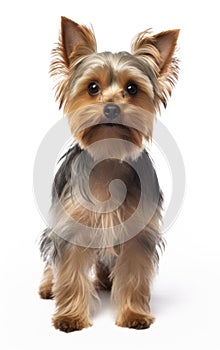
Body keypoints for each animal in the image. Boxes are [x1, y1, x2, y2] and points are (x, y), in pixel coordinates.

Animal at [38, 16, 179, 332]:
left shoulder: (139, 231)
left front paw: (134, 313)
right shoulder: (72, 227)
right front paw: (70, 316)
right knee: (51, 257)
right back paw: (48, 286)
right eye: (92, 87)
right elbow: (69, 273)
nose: (112, 107)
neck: (109, 156)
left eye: (132, 89)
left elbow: (135, 273)